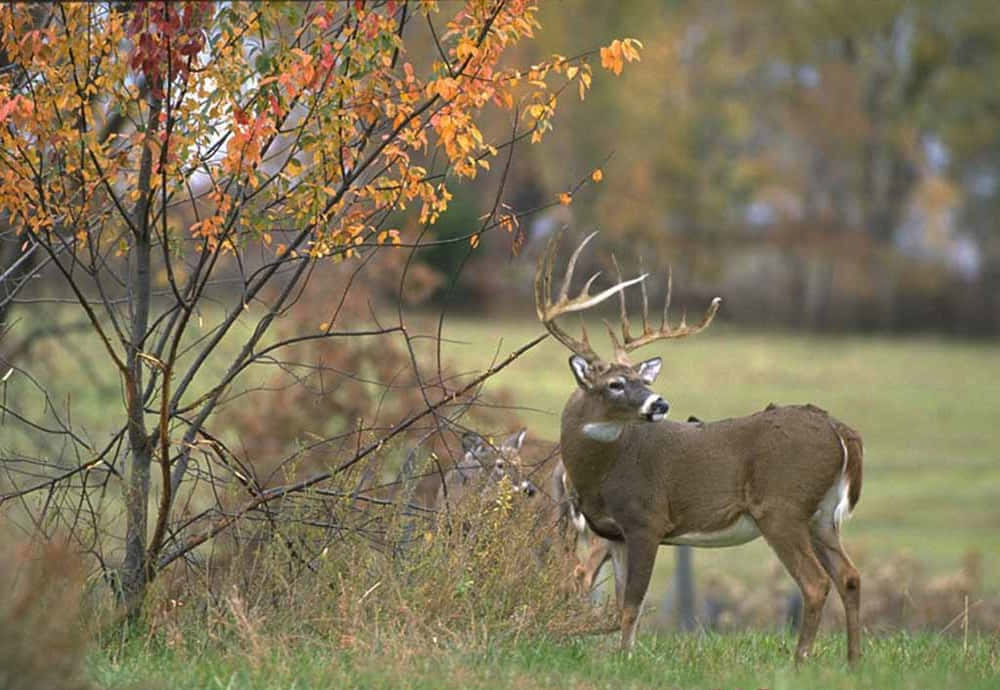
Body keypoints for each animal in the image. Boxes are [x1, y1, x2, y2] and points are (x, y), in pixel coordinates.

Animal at [536, 228, 864, 660]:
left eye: (642, 379)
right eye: (616, 383)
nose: (659, 403)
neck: (603, 473)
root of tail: (838, 429)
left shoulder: (647, 520)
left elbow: (632, 604)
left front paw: (627, 659)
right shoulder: (614, 534)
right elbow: (622, 604)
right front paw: (622, 657)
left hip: (782, 508)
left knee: (815, 583)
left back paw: (800, 662)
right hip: (821, 516)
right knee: (850, 577)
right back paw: (853, 662)